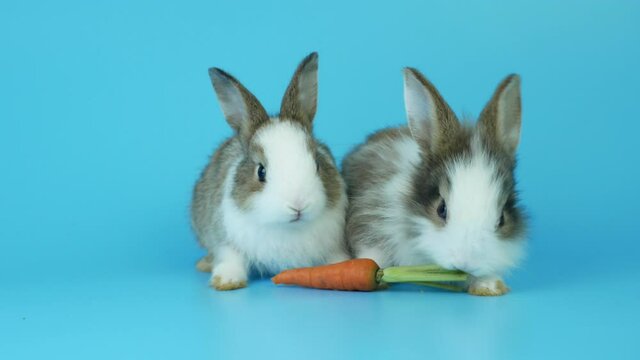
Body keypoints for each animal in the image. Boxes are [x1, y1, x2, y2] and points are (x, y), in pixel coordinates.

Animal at [191, 52, 350, 290]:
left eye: (317, 163)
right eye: (261, 171)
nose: (298, 205)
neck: (287, 228)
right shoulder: (225, 239)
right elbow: (230, 257)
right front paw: (226, 282)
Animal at [342, 67, 528, 296]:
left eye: (502, 219)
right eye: (441, 209)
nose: (464, 262)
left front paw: (489, 286)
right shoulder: (371, 217)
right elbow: (372, 252)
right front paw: (378, 276)